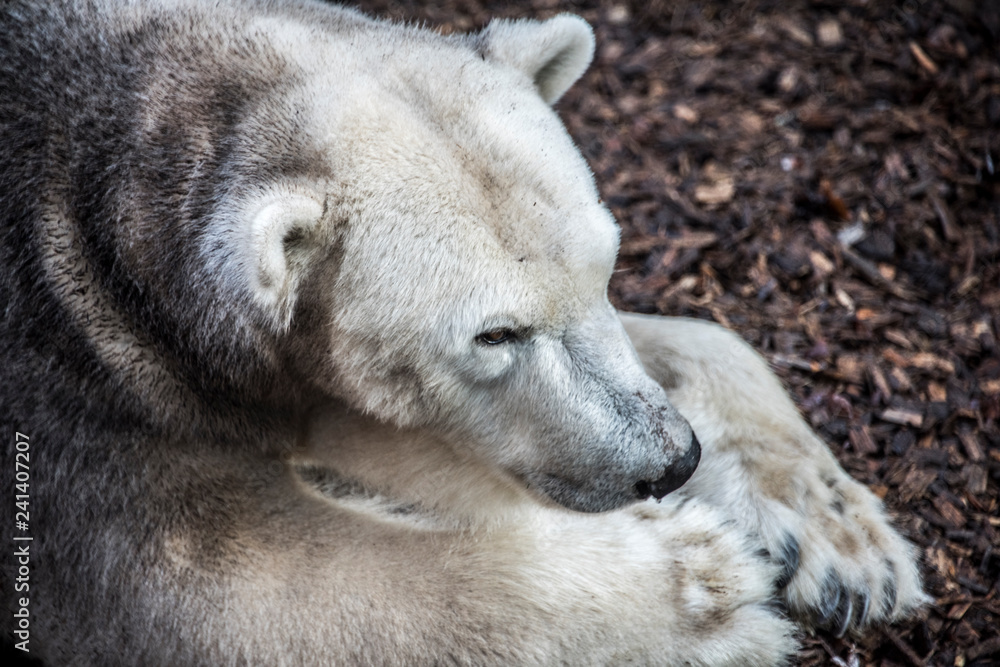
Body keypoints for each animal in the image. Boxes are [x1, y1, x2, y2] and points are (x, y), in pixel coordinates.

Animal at [0, 0, 925, 664]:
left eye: (609, 262)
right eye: (494, 335)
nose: (669, 460)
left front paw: (841, 545)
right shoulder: (80, 402)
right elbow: (216, 592)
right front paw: (705, 584)